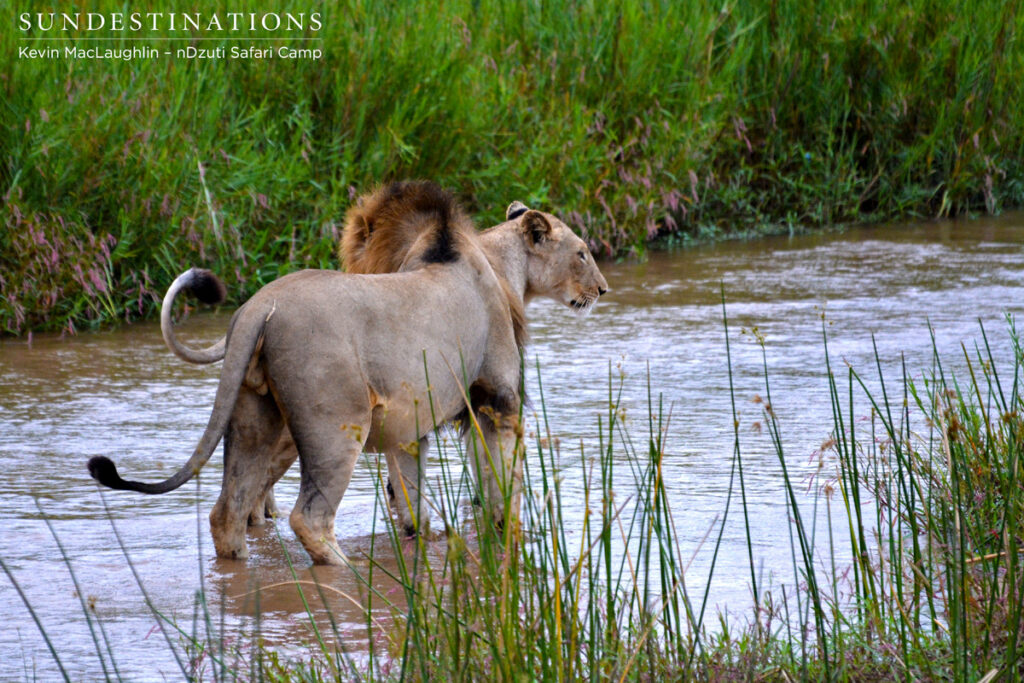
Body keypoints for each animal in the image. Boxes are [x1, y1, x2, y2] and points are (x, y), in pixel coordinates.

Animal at [91, 181, 608, 565]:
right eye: (583, 252)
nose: (602, 290)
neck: (500, 270)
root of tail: (258, 307)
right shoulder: (497, 400)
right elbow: (503, 487)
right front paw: (510, 538)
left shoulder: (409, 425)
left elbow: (414, 503)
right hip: (337, 425)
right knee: (309, 518)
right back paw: (346, 571)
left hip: (255, 417)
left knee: (228, 511)